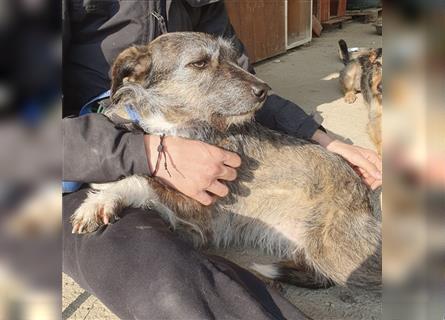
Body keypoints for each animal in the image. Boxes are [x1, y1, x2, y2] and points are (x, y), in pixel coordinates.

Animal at [70, 32, 382, 290]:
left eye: (233, 57)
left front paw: (100, 199)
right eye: (199, 63)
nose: (264, 90)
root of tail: (365, 199)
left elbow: (143, 182)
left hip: (333, 251)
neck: (172, 126)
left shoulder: (200, 213)